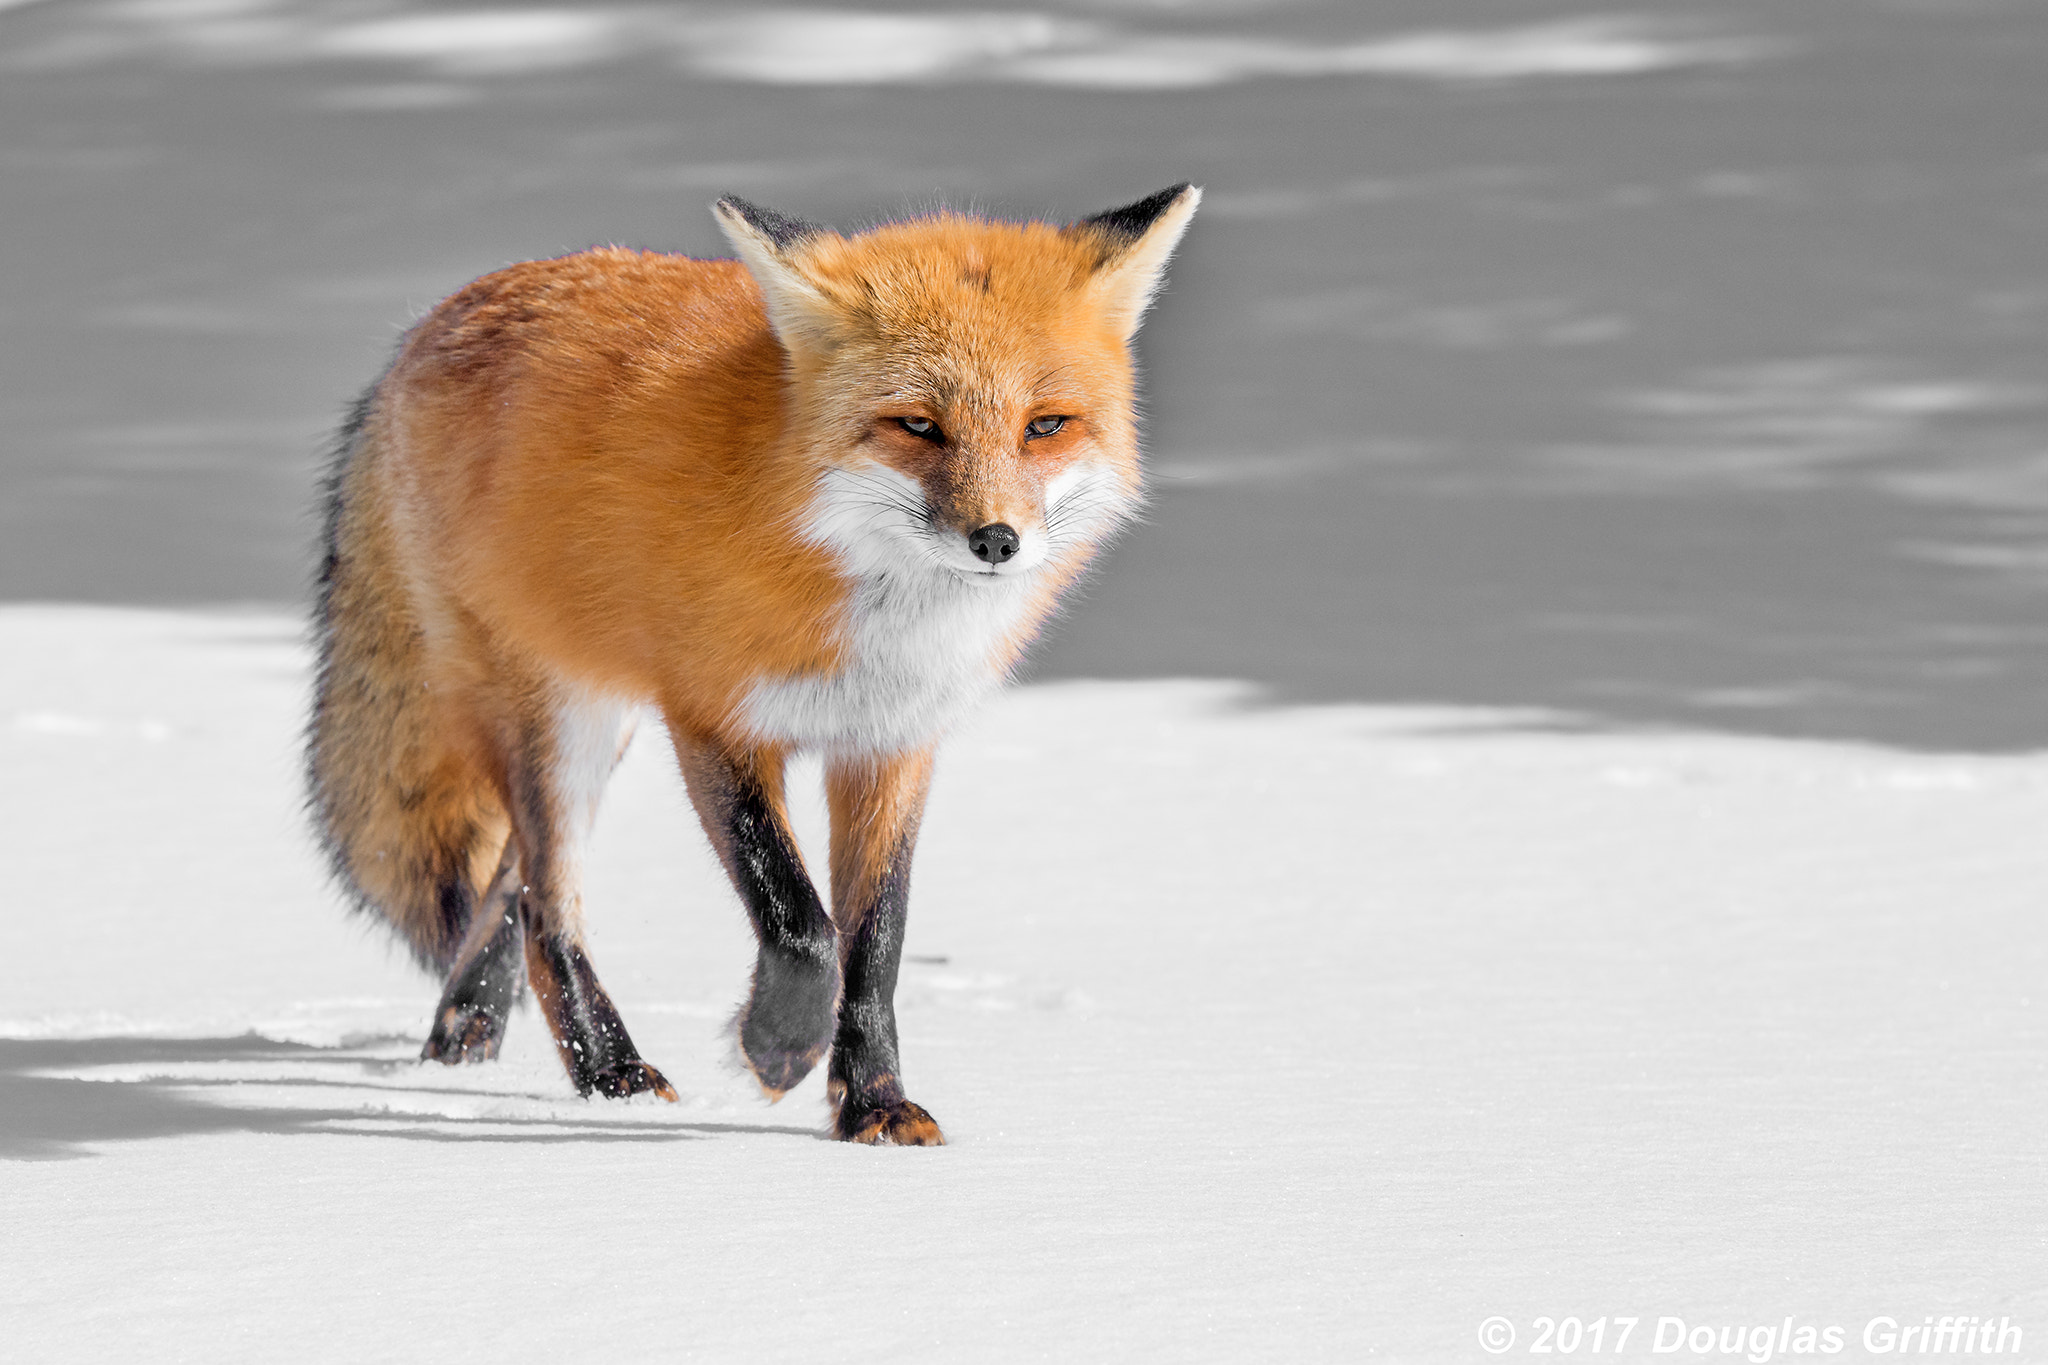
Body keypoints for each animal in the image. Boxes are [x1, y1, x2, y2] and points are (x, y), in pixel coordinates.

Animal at [306, 184, 1199, 1145]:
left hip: (601, 725)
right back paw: (611, 1071)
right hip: (561, 714)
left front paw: (873, 1101)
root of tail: (432, 321)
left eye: (1045, 426)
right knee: (545, 902)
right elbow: (800, 921)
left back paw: (467, 1025)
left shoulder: (891, 744)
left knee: (503, 886)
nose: (997, 540)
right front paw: (777, 1047)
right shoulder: (711, 717)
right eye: (919, 425)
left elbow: (876, 941)